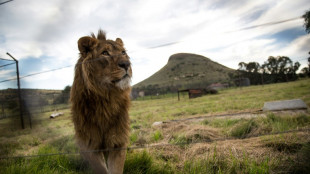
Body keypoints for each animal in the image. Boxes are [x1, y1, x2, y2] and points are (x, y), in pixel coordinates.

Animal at [70, 30, 132, 174]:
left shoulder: (118, 140)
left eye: (123, 52)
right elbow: (101, 169)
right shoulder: (89, 144)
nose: (126, 64)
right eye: (105, 53)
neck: (105, 98)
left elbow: (116, 169)